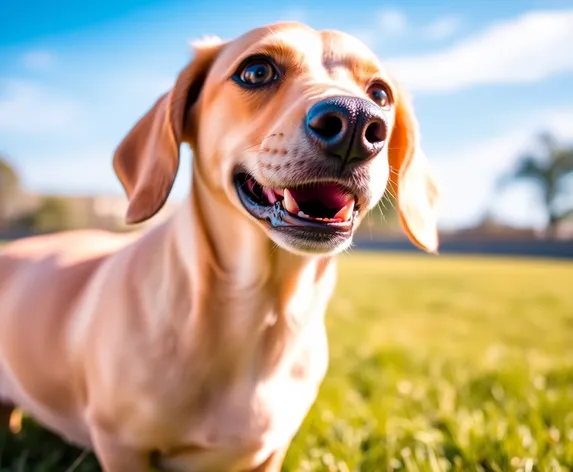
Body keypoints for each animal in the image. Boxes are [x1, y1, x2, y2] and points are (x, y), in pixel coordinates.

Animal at [0, 22, 438, 472]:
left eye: (380, 94)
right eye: (257, 71)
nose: (355, 121)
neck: (262, 312)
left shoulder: (271, 453)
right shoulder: (121, 445)